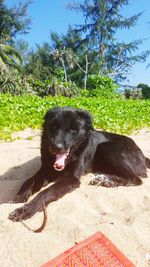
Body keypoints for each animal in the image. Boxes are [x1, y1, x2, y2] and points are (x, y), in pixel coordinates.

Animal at [8, 107, 150, 222]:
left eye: (73, 129)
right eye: (53, 126)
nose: (55, 147)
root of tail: (142, 155)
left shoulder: (71, 178)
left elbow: (46, 192)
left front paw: (25, 210)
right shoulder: (46, 170)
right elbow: (29, 180)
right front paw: (19, 196)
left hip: (106, 148)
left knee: (136, 179)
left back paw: (109, 181)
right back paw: (104, 178)